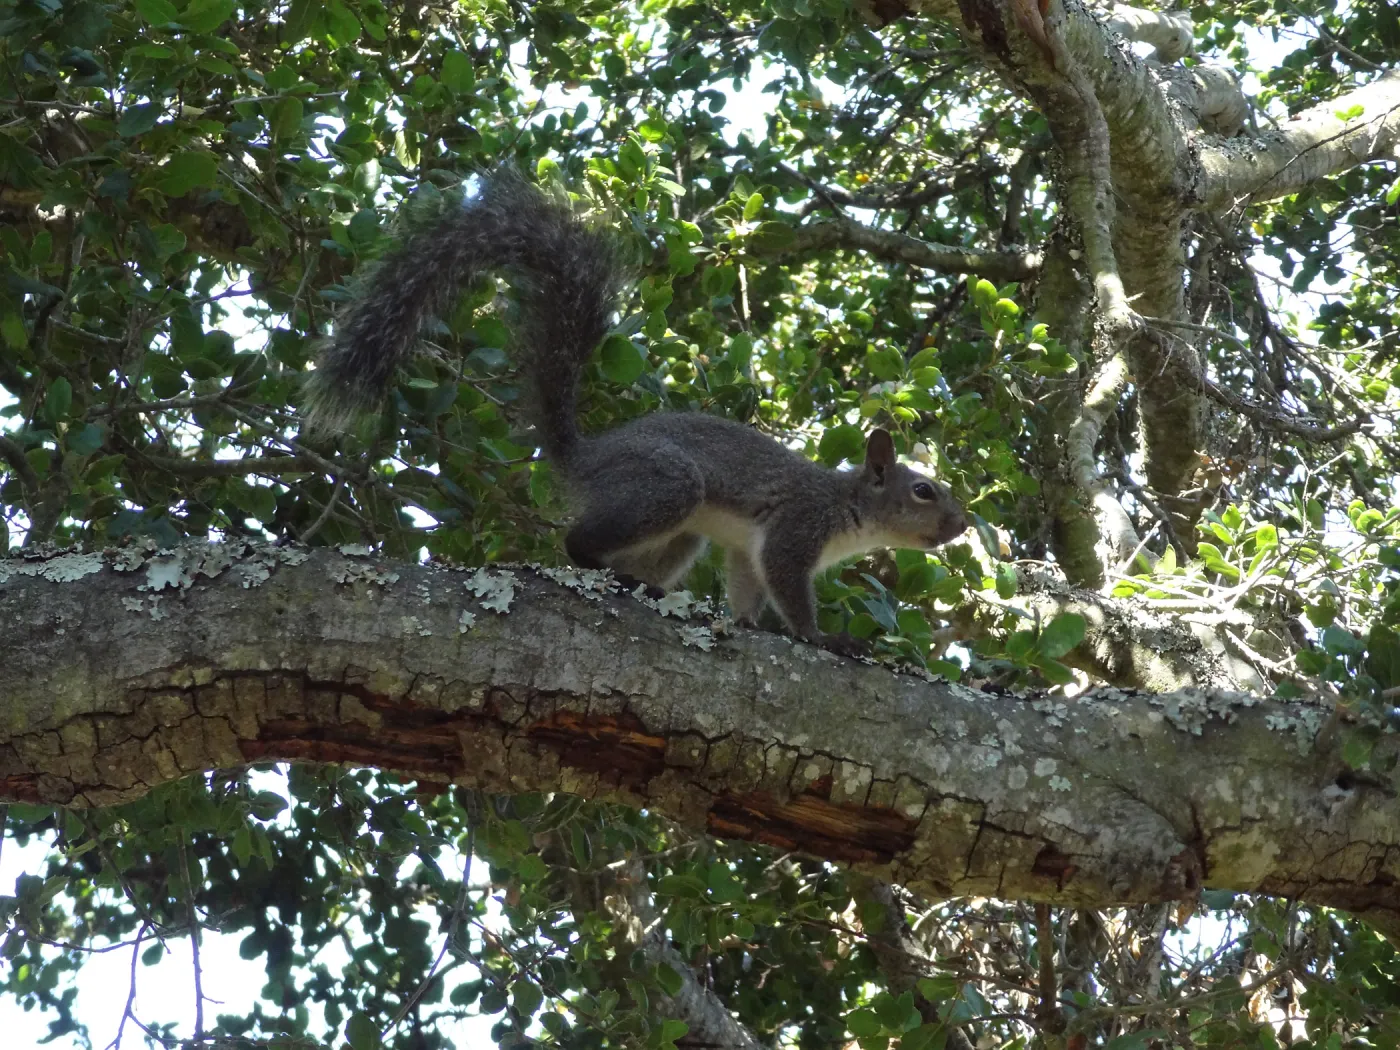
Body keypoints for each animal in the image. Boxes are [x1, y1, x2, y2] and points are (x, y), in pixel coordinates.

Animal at [306, 171, 969, 656]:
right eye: (924, 491)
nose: (962, 526)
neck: (849, 510)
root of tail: (584, 456)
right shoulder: (795, 529)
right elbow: (789, 589)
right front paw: (821, 637)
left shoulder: (747, 550)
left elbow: (747, 587)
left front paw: (748, 625)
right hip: (665, 484)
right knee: (576, 544)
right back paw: (618, 578)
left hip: (682, 531)